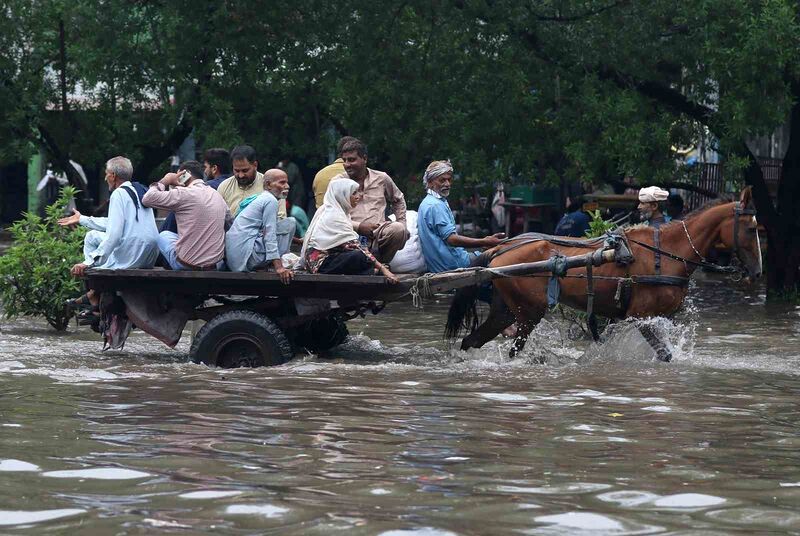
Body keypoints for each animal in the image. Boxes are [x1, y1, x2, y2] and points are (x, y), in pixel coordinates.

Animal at [444, 187, 764, 360]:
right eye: (751, 229)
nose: (757, 272)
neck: (666, 253)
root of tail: (500, 250)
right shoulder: (640, 316)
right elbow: (664, 354)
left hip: (506, 311)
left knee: (471, 340)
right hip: (528, 313)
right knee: (511, 350)